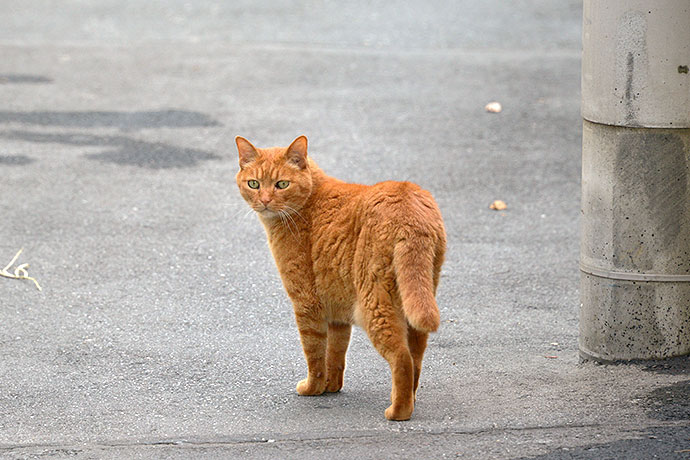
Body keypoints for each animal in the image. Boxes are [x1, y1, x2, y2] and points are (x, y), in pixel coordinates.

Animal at [234, 134, 444, 420]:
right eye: (254, 184)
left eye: (281, 184)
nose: (264, 200)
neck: (309, 202)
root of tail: (408, 202)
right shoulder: (337, 309)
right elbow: (335, 352)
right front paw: (331, 386)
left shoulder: (307, 303)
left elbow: (314, 354)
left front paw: (312, 388)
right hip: (417, 298)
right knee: (417, 356)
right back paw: (410, 399)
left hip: (374, 305)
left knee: (402, 358)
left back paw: (398, 410)